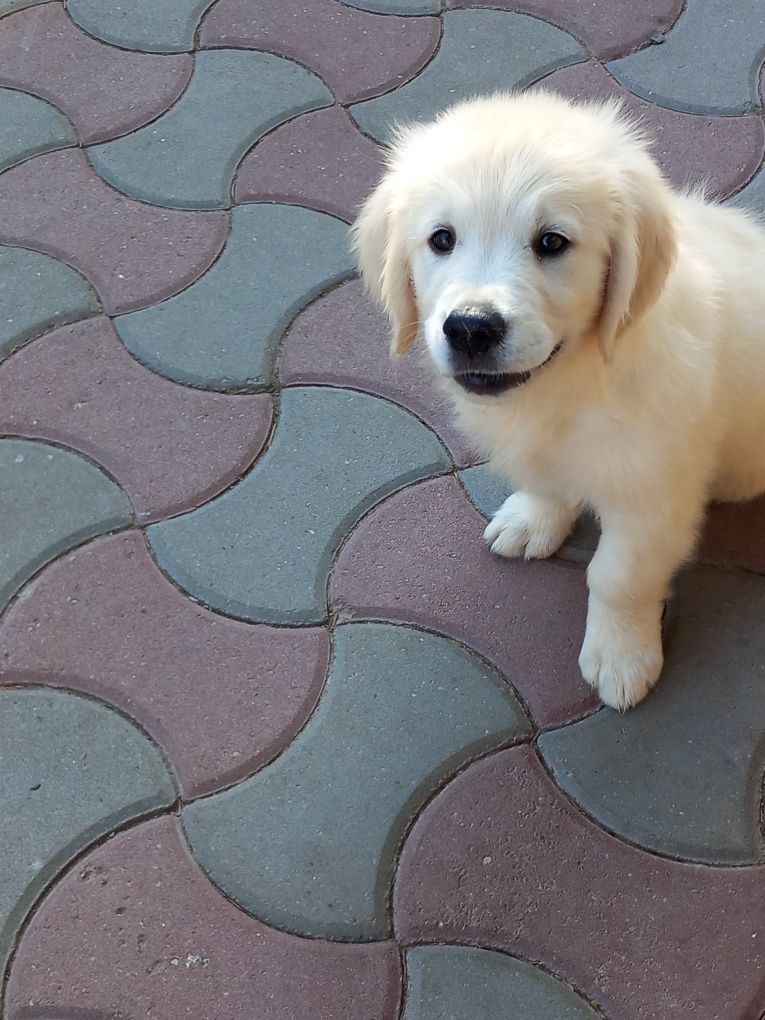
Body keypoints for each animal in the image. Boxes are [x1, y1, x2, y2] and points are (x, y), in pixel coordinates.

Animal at [354, 89, 765, 709]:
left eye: (552, 242)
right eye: (442, 239)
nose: (471, 328)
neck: (570, 386)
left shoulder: (653, 495)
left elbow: (617, 577)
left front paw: (621, 656)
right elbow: (547, 483)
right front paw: (535, 518)